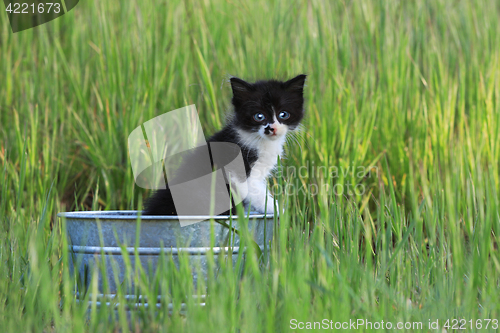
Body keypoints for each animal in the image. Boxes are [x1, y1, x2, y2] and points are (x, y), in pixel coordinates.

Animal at [141, 74, 304, 215]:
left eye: (283, 114)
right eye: (259, 116)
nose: (271, 128)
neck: (259, 140)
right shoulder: (239, 171)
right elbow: (255, 191)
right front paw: (276, 210)